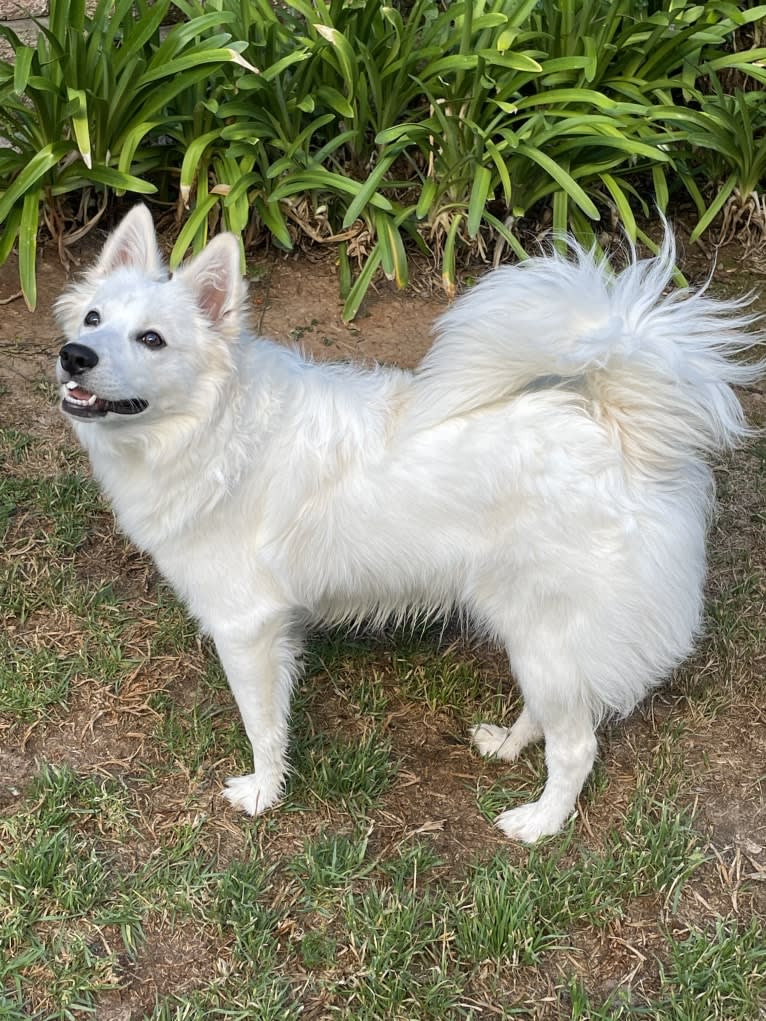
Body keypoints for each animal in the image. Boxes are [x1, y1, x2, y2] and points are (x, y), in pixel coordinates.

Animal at [55, 203, 763, 841]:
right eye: (93, 319)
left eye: (152, 339)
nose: (73, 355)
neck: (213, 425)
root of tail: (618, 428)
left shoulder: (246, 628)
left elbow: (262, 725)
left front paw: (262, 793)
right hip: (537, 638)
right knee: (553, 716)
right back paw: (507, 745)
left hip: (547, 636)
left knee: (577, 746)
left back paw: (539, 823)